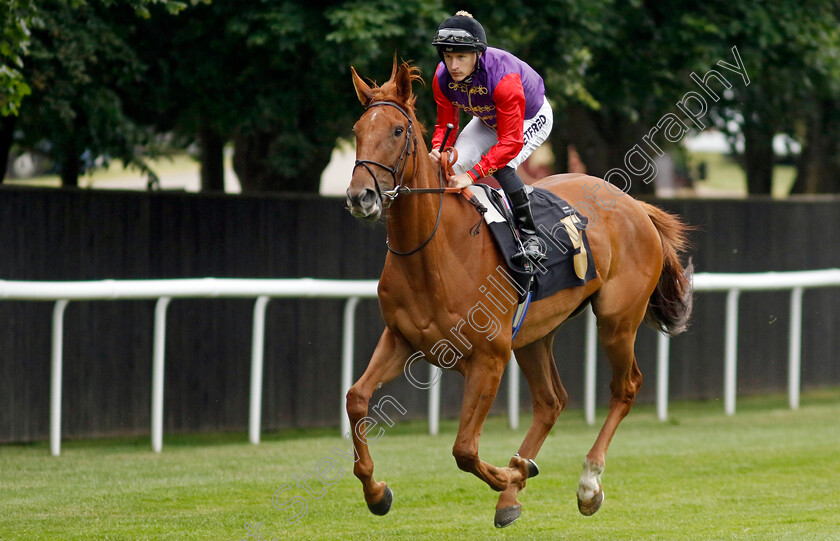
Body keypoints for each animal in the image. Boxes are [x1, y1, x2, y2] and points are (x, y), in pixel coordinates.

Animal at [344, 60, 692, 528]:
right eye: (358, 129)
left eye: (398, 130)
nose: (360, 196)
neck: (434, 254)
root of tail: (635, 205)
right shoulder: (401, 339)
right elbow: (357, 398)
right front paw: (376, 491)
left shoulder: (489, 358)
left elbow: (464, 449)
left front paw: (512, 473)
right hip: (534, 335)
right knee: (551, 401)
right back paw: (514, 488)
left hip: (617, 321)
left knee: (626, 387)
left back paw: (586, 483)